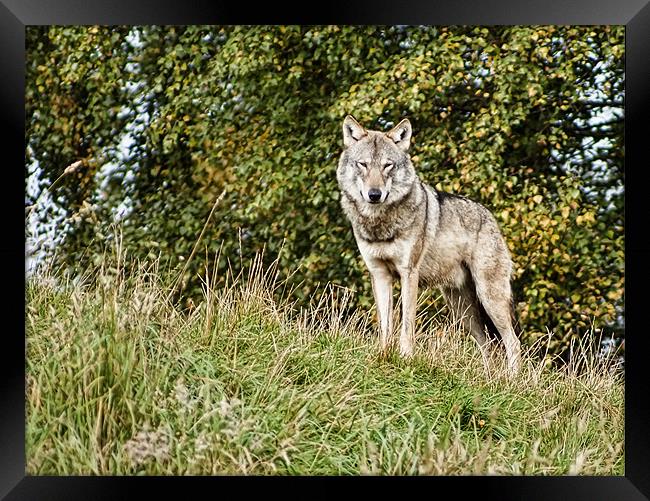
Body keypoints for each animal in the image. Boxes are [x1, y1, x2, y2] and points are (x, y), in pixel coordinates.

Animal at [336, 115, 520, 374]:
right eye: (363, 164)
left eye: (387, 165)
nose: (374, 194)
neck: (380, 224)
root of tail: (490, 218)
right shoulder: (380, 274)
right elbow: (385, 325)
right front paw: (382, 356)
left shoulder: (408, 273)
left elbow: (406, 325)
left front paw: (405, 359)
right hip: (462, 309)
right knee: (488, 346)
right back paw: (489, 379)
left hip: (489, 297)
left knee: (512, 342)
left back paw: (511, 380)